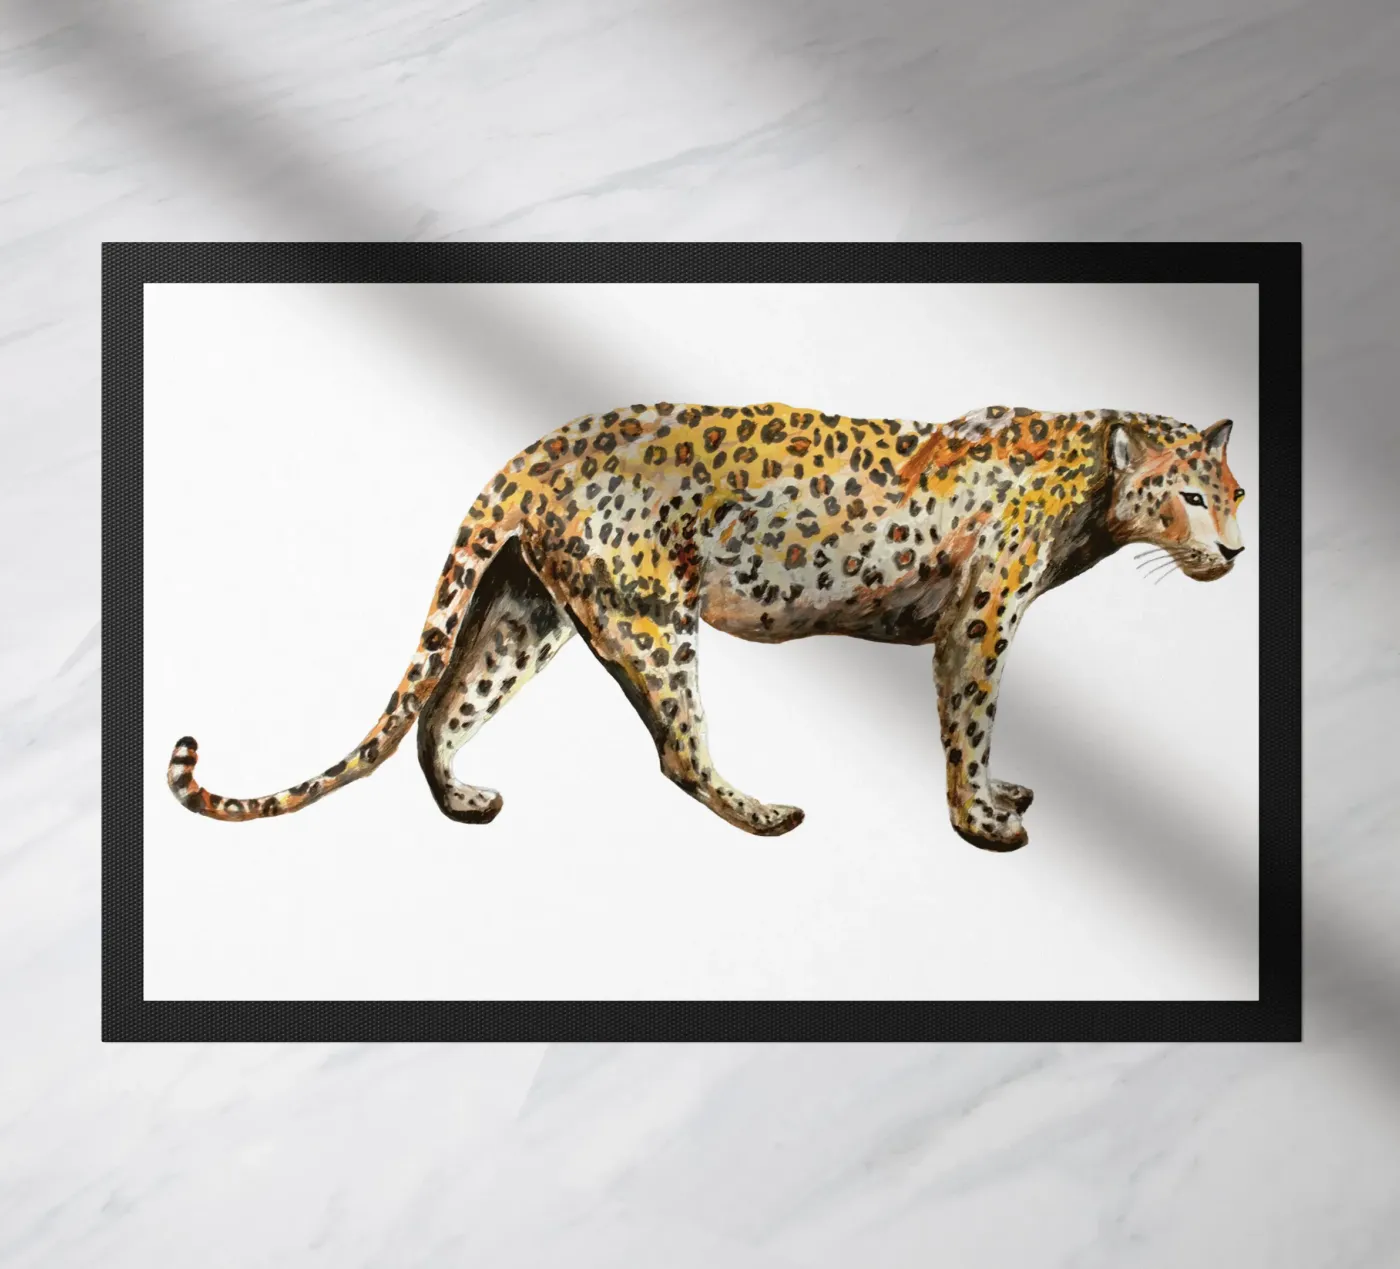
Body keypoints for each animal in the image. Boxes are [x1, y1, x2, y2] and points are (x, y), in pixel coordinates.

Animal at [169, 402, 1244, 851]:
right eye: (1190, 496)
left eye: (1234, 494)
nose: (1235, 551)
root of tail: (531, 453)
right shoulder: (978, 621)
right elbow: (969, 721)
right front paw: (980, 821)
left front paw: (1000, 795)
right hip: (651, 621)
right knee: (678, 751)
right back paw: (764, 815)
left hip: (527, 613)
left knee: (445, 708)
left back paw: (464, 801)